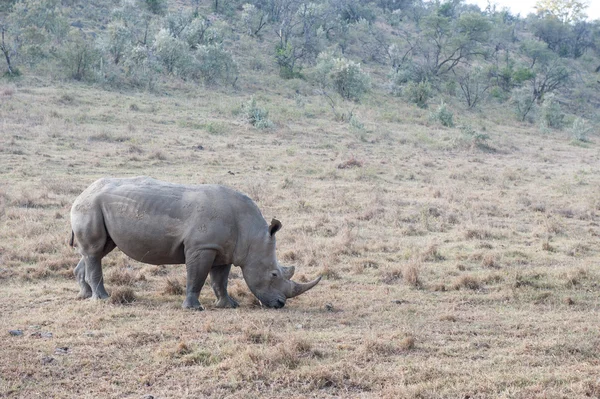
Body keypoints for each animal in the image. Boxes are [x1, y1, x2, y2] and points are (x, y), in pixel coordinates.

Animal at [68, 177, 322, 310]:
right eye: (274, 274)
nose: (280, 304)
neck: (252, 233)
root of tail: (81, 193)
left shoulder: (223, 250)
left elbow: (220, 280)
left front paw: (228, 305)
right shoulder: (202, 247)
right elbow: (197, 277)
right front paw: (194, 308)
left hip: (95, 207)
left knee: (96, 251)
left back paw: (84, 295)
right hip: (90, 206)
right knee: (94, 252)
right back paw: (102, 299)